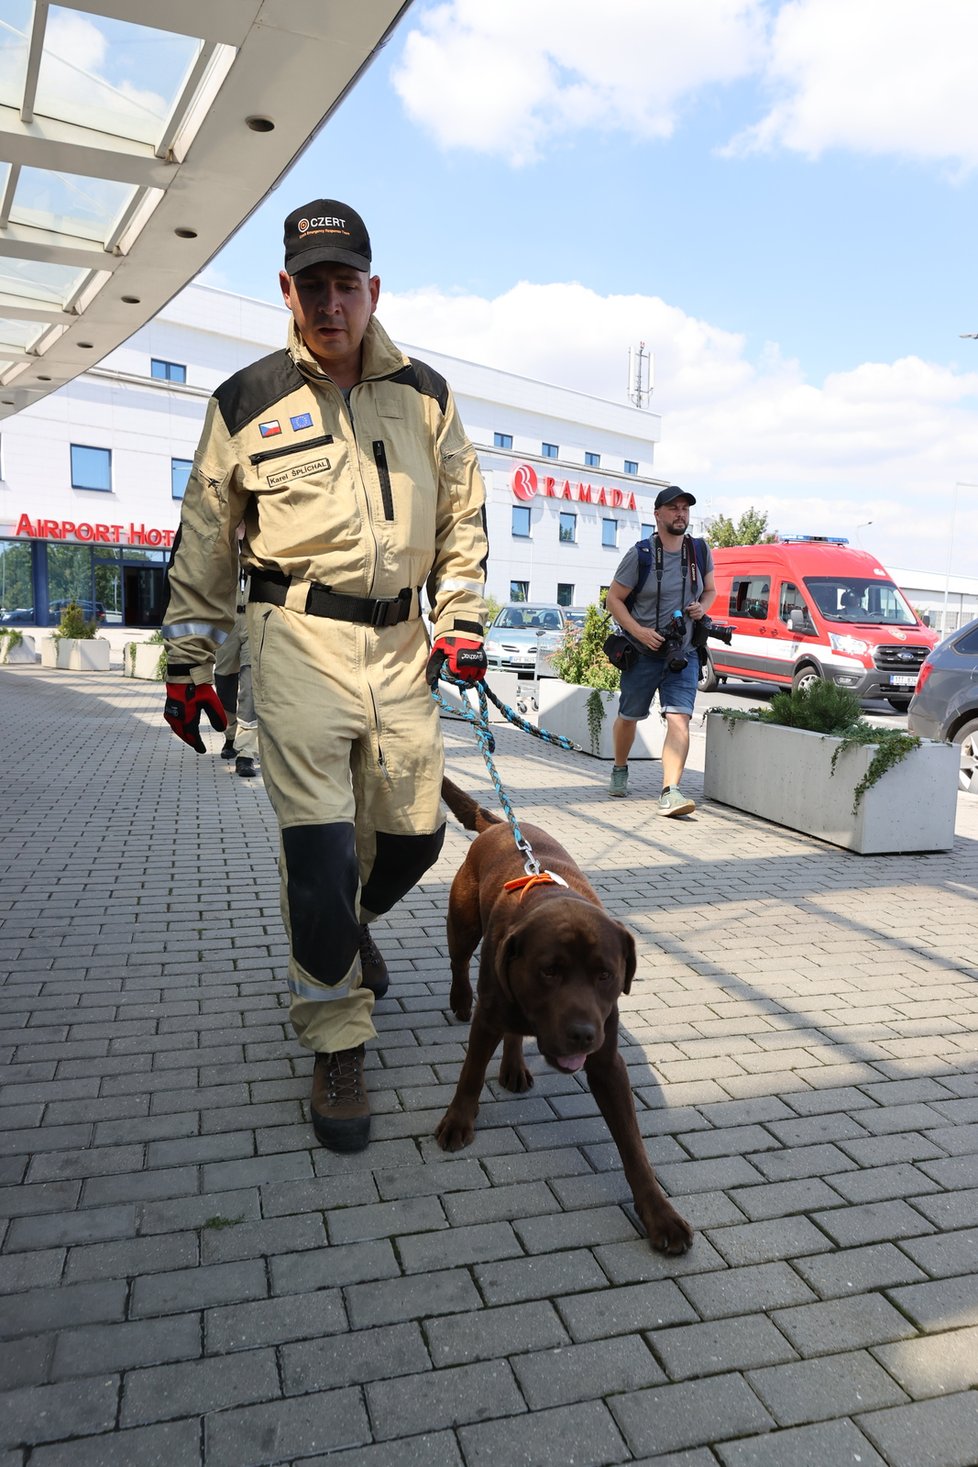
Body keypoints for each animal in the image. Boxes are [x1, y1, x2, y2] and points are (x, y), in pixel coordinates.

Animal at [436, 774, 695, 1255]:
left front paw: (659, 1214)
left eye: (605, 975)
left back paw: (515, 1066)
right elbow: (470, 1074)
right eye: (549, 971)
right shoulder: (489, 1014)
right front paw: (458, 1121)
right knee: (459, 962)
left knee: (514, 1032)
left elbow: (633, 1146)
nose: (581, 1034)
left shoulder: (608, 1062)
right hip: (463, 925)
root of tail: (499, 825)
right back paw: (460, 998)